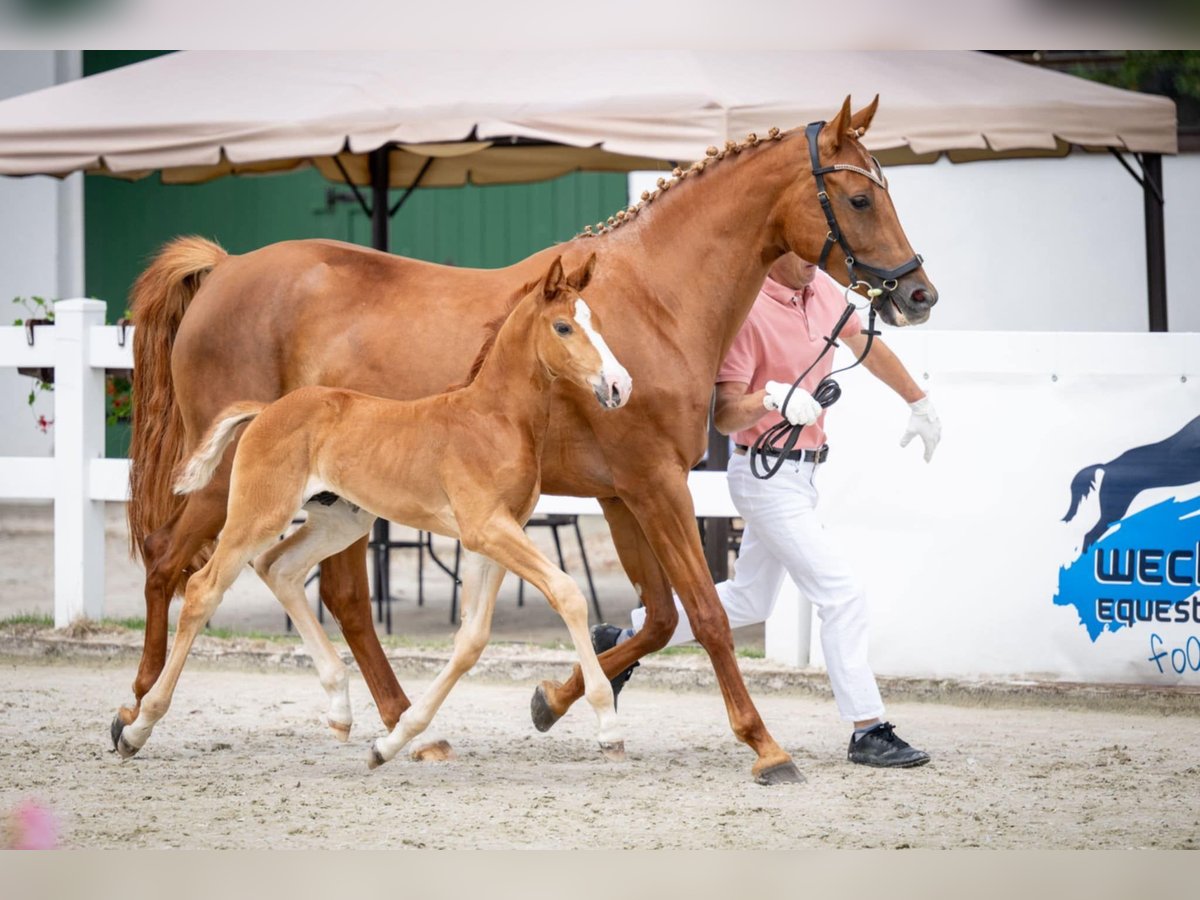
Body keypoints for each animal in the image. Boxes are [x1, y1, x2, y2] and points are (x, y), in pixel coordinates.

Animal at [115, 256, 633, 772]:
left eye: (597, 321)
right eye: (563, 326)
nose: (618, 386)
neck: (492, 419)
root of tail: (265, 411)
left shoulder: (495, 537)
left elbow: (471, 639)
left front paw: (393, 741)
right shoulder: (487, 528)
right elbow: (568, 593)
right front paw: (608, 727)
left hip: (341, 520)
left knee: (277, 567)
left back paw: (340, 708)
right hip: (257, 512)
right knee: (204, 588)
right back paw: (137, 726)